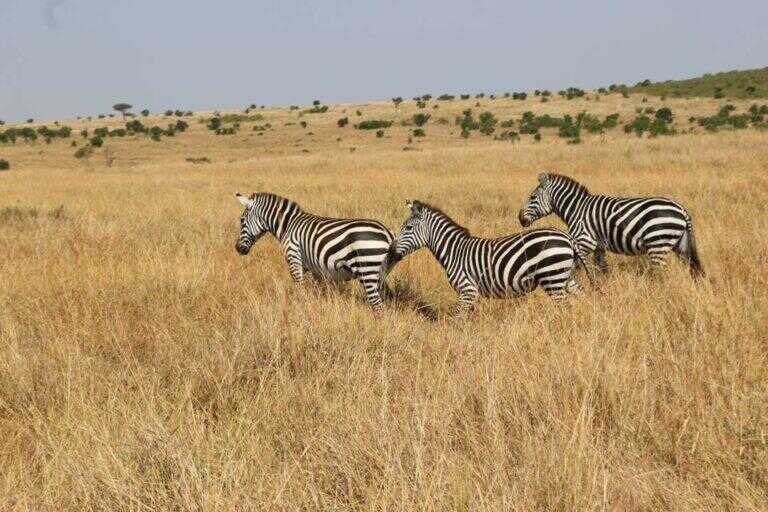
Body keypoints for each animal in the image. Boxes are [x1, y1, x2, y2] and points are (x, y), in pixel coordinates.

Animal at [234, 192, 400, 311]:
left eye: (242, 221)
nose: (238, 249)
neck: (288, 225)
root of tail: (386, 232)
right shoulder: (315, 268)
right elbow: (318, 291)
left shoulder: (294, 258)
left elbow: (299, 288)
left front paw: (301, 310)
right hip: (380, 272)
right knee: (387, 298)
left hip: (367, 270)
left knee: (377, 305)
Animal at [392, 199, 592, 314]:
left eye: (408, 228)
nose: (393, 251)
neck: (453, 251)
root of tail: (567, 237)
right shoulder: (471, 294)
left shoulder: (467, 290)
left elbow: (456, 317)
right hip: (565, 276)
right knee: (581, 298)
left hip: (552, 277)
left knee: (565, 308)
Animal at [518, 173, 704, 278]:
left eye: (533, 197)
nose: (520, 219)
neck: (576, 208)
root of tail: (682, 209)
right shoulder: (599, 247)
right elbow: (602, 270)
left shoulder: (584, 241)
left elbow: (577, 267)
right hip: (681, 244)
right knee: (693, 268)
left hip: (658, 244)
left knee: (662, 274)